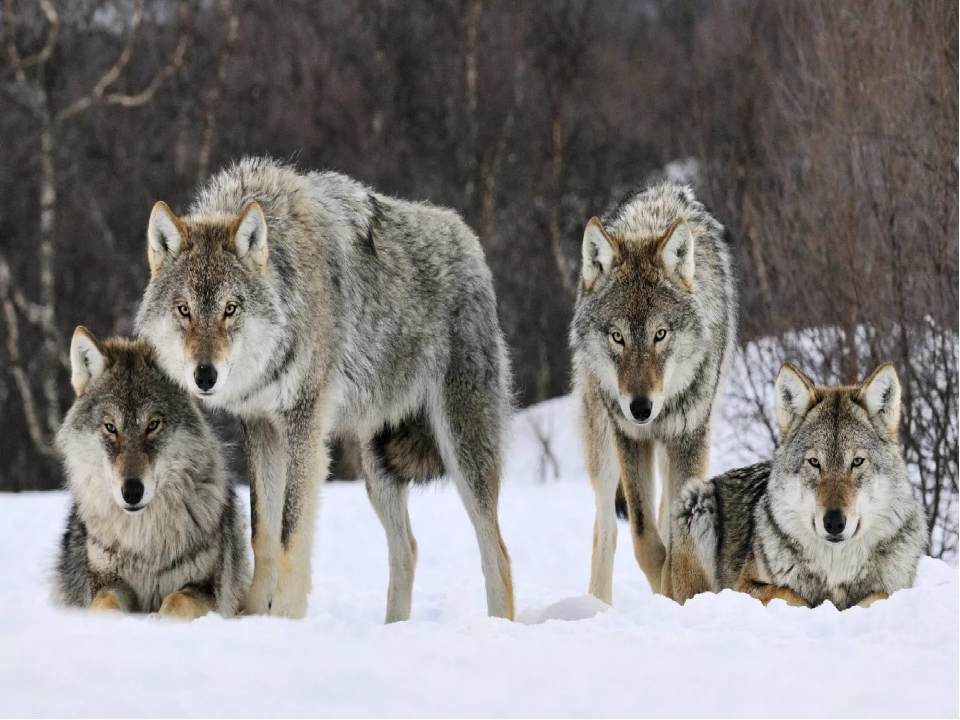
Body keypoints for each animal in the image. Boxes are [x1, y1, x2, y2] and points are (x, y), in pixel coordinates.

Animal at [53, 330, 249, 616]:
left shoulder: (205, 587)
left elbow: (176, 601)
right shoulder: (105, 582)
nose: (132, 491)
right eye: (110, 427)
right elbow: (106, 605)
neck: (143, 541)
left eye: (153, 424)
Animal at [136, 156, 512, 620]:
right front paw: (254, 615)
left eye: (230, 309)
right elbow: (262, 534)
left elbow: (290, 537)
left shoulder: (305, 427)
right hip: (377, 467)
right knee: (407, 549)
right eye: (184, 310)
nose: (205, 376)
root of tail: (470, 242)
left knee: (497, 552)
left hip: (461, 449)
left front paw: (284, 618)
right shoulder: (261, 428)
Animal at [568, 183, 736, 604]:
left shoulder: (690, 437)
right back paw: (597, 604)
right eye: (618, 337)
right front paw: (664, 585)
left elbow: (676, 535)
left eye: (660, 334)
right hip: (601, 445)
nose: (641, 408)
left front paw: (677, 591)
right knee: (606, 527)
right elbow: (644, 536)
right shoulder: (629, 437)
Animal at [676, 362, 928, 612]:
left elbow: (878, 596)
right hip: (695, 501)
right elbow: (791, 594)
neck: (835, 569)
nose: (834, 522)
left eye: (857, 462)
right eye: (814, 462)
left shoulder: (895, 588)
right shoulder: (745, 586)